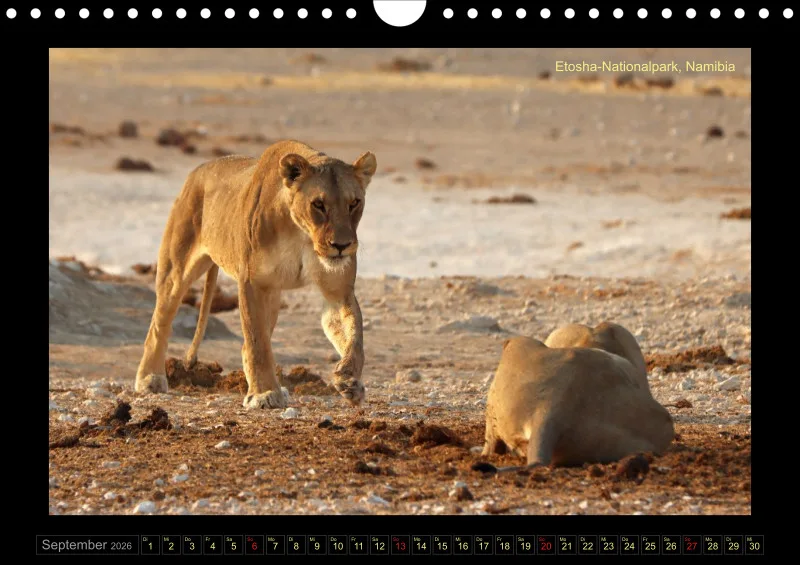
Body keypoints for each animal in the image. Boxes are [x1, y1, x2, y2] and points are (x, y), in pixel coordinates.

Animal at [134, 140, 377, 409]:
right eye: (318, 204)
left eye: (354, 203)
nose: (341, 245)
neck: (301, 234)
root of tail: (198, 170)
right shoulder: (252, 282)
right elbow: (257, 342)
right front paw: (264, 393)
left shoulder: (338, 291)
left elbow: (354, 336)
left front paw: (350, 380)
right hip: (176, 269)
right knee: (159, 324)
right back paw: (150, 379)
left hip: (273, 294)